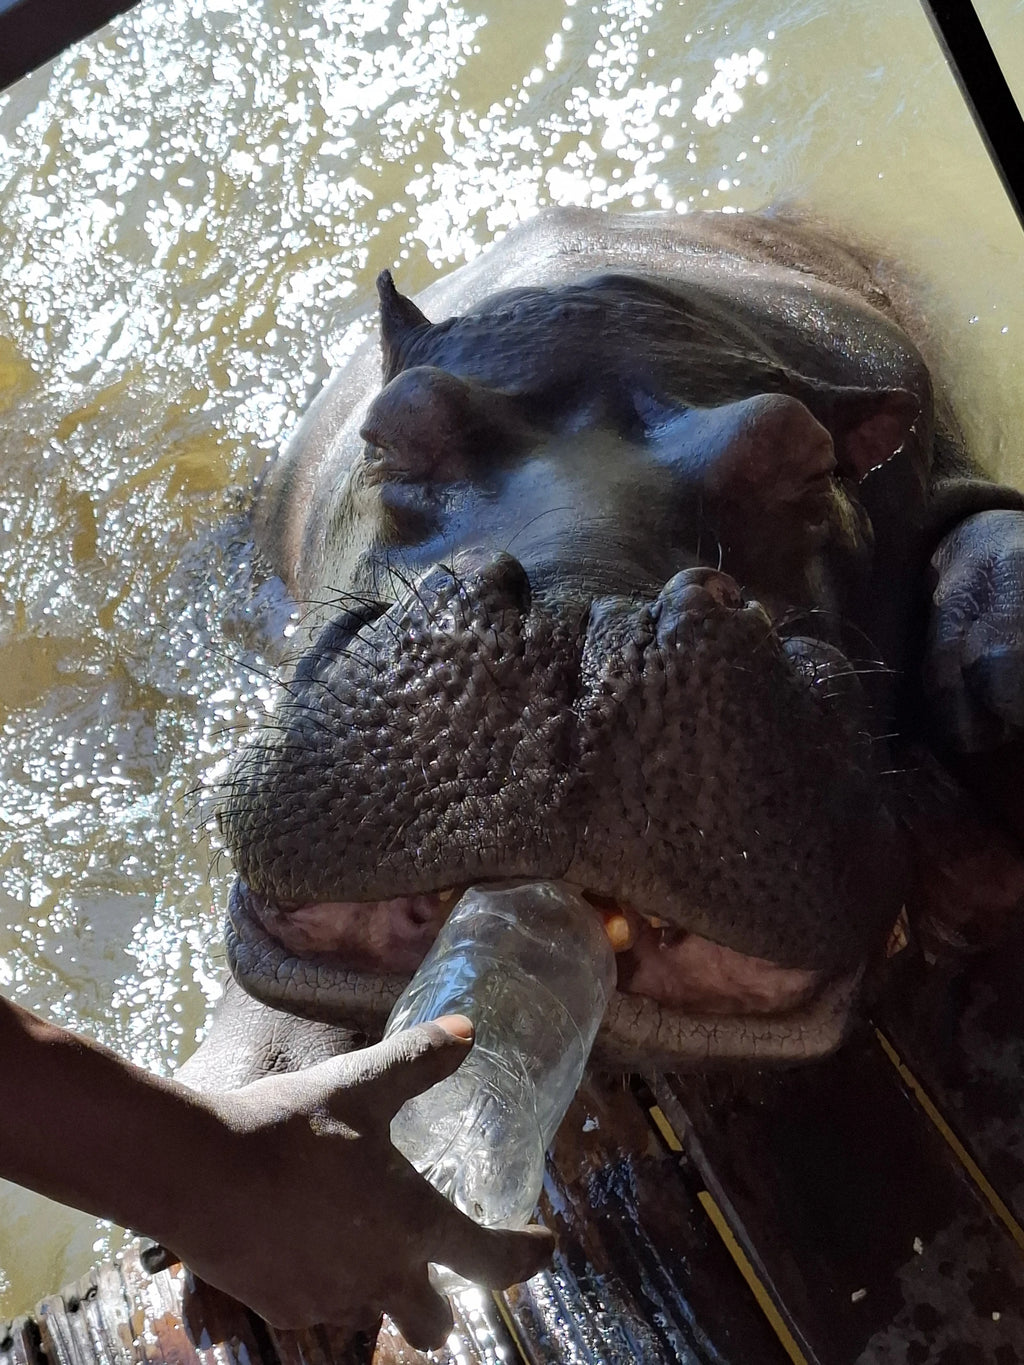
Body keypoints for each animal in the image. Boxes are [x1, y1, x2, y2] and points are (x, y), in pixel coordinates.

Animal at [185, 207, 1024, 1088]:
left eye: (809, 459)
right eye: (387, 426)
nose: (580, 628)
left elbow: (988, 522)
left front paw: (996, 666)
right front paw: (262, 1069)